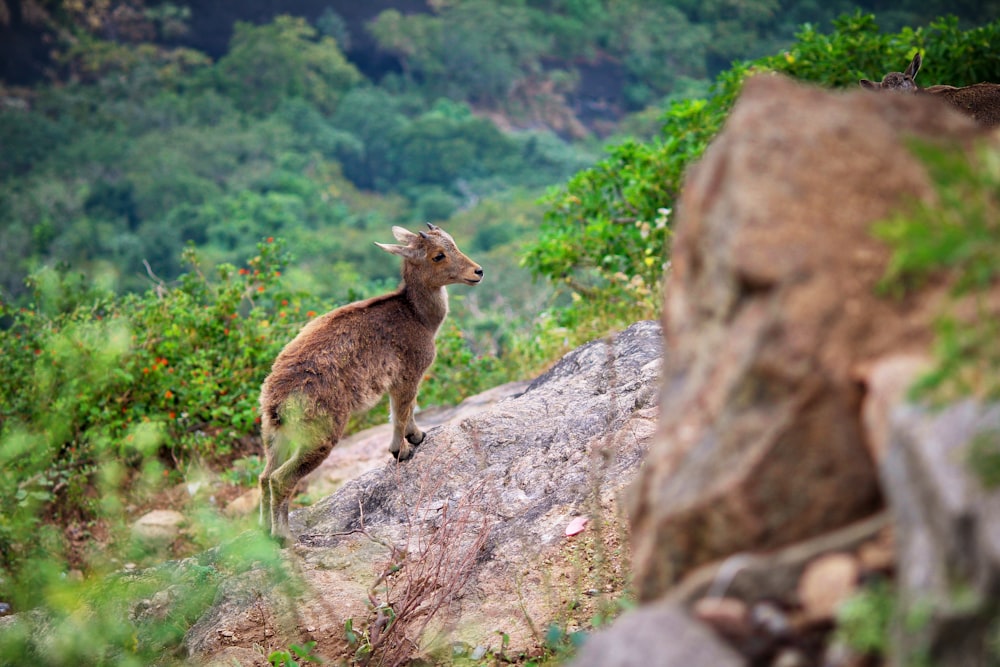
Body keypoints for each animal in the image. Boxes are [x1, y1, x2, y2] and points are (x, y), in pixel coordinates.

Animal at [258, 223, 484, 544]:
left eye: (453, 243)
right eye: (438, 255)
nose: (478, 271)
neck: (416, 315)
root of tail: (276, 400)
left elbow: (406, 410)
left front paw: (416, 436)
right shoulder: (407, 373)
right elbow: (401, 411)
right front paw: (402, 449)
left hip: (274, 435)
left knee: (264, 476)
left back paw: (264, 532)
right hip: (319, 434)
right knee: (280, 479)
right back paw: (284, 536)